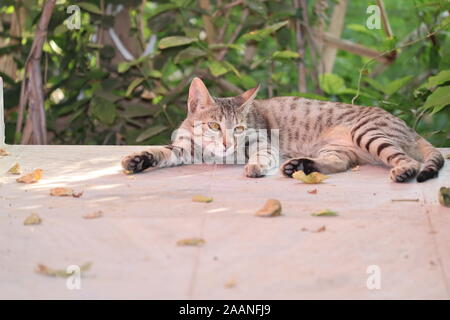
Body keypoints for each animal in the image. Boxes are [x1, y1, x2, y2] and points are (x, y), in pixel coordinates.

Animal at [121, 77, 444, 182]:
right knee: (337, 164)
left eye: (239, 128)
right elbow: (160, 152)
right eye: (214, 125)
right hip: (338, 149)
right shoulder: (184, 149)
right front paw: (138, 159)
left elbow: (261, 155)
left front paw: (255, 166)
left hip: (368, 134)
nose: (227, 144)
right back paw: (300, 166)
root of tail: (407, 126)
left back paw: (403, 171)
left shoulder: (263, 142)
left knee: (409, 160)